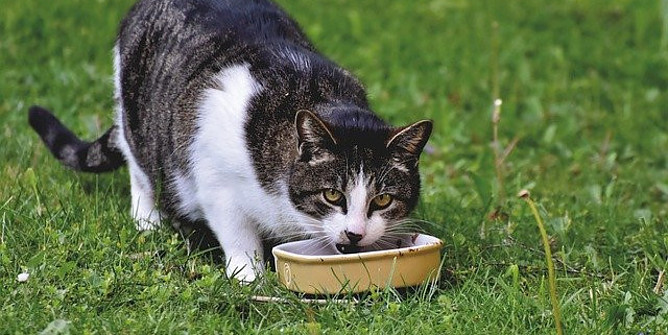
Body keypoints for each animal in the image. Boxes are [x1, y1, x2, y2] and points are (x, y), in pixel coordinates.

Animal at [28, 0, 430, 282]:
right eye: (332, 195)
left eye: (383, 200)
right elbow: (238, 234)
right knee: (139, 167)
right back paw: (148, 219)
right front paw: (249, 276)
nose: (355, 233)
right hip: (136, 118)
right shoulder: (215, 183)